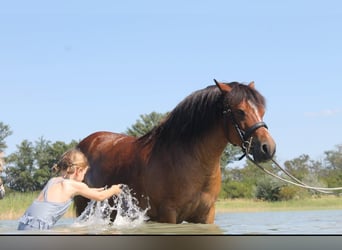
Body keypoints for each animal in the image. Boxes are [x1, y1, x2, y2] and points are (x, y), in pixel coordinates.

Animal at [74, 81, 276, 224]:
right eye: (240, 111)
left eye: (262, 110)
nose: (268, 148)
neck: (192, 160)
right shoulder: (168, 215)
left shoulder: (206, 215)